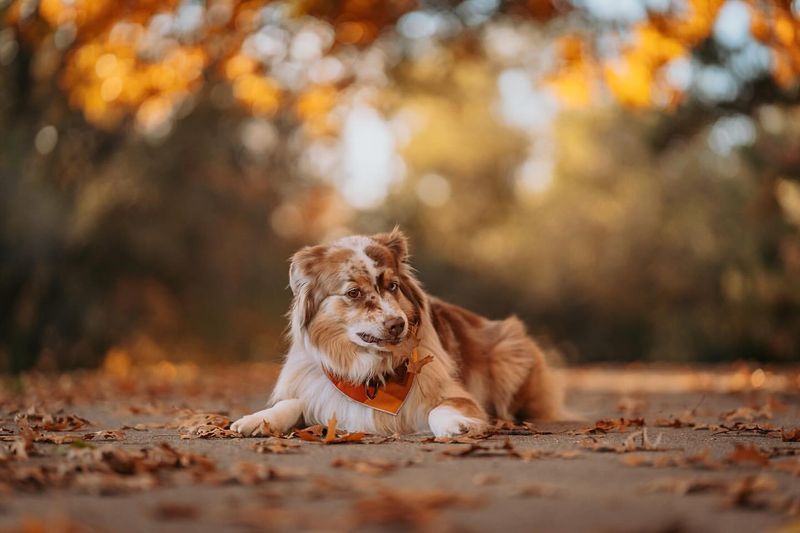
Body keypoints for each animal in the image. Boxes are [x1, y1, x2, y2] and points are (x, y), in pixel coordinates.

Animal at [233, 229, 564, 436]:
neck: (372, 373)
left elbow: (440, 409)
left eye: (392, 285)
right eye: (353, 292)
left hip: (510, 351)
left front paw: (457, 424)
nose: (397, 324)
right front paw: (257, 419)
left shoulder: (456, 393)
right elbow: (294, 401)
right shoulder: (320, 389)